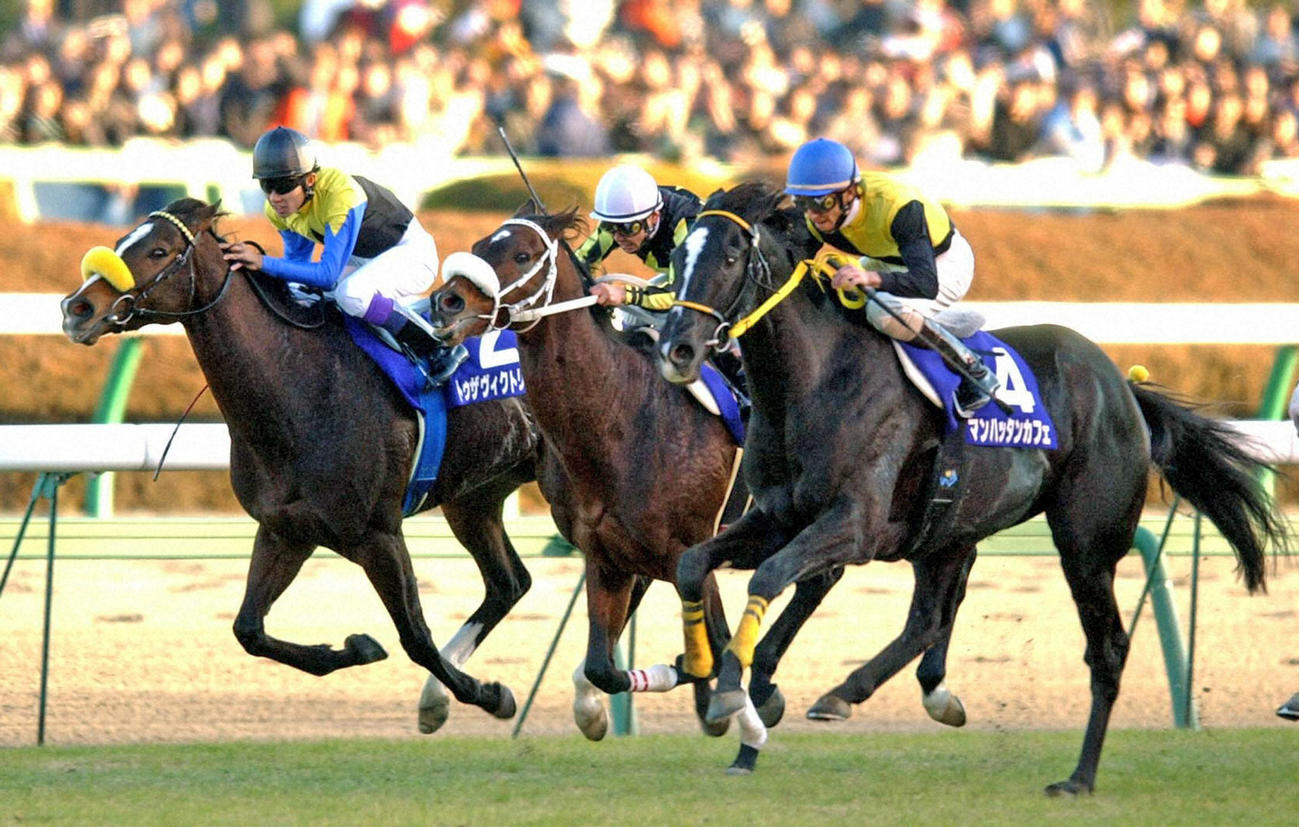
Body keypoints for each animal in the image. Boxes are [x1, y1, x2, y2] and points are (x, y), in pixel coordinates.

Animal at [59, 197, 555, 734]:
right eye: (124, 239)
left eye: (158, 250)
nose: (77, 308)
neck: (302, 389)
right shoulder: (286, 530)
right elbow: (249, 630)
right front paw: (357, 647)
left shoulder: (377, 533)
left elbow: (416, 637)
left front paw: (489, 694)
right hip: (474, 498)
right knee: (509, 583)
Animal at [426, 206, 804, 741]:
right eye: (480, 246)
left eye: (522, 254)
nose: (447, 302)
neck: (623, 415)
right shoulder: (607, 556)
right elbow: (603, 666)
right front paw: (598, 707)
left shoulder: (690, 550)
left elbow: (717, 643)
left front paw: (741, 713)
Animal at [657, 181, 1292, 792]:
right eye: (679, 256)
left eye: (731, 255)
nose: (676, 350)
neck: (813, 382)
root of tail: (1122, 387)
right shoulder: (776, 517)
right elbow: (692, 564)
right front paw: (715, 679)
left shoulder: (853, 524)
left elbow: (768, 576)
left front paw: (732, 693)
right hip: (948, 529)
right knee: (928, 617)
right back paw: (857, 693)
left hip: (1086, 544)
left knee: (1105, 649)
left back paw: (1078, 778)